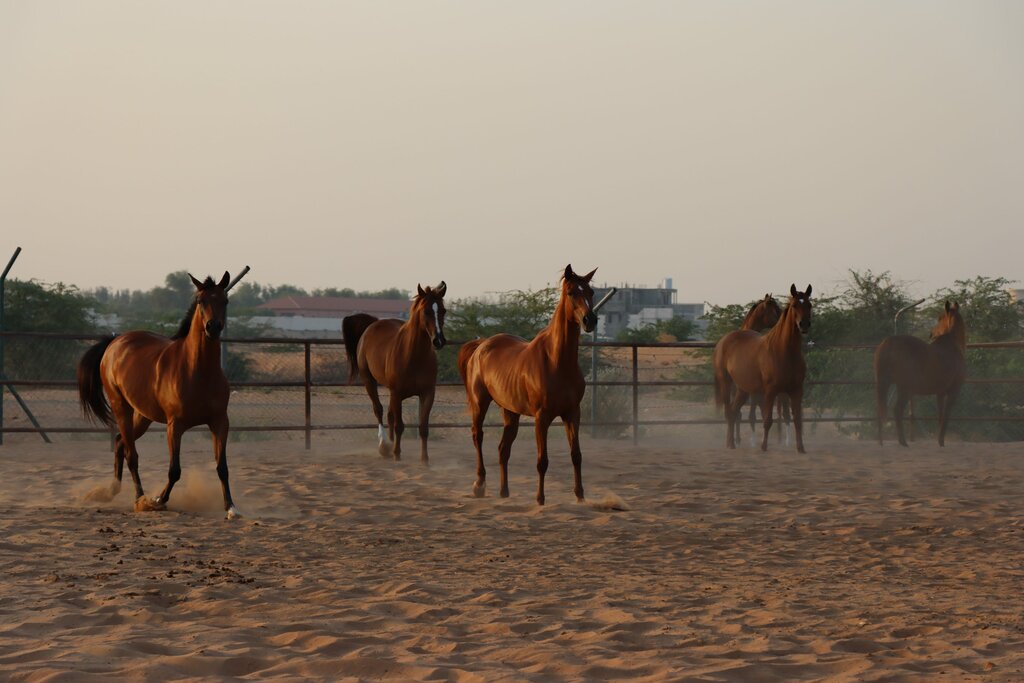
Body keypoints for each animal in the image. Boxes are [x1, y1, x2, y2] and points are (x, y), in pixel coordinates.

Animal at [77, 273, 239, 518]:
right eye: (200, 301)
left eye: (225, 300)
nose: (213, 328)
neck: (198, 371)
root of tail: (115, 342)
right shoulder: (175, 425)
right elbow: (174, 470)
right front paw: (158, 500)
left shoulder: (220, 422)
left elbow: (222, 467)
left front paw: (231, 507)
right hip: (121, 407)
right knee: (131, 455)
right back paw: (140, 499)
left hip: (142, 415)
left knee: (120, 443)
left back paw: (111, 491)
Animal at [342, 283, 447, 463]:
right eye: (426, 311)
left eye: (443, 310)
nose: (438, 341)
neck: (414, 356)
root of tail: (373, 324)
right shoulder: (397, 393)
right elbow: (399, 425)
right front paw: (397, 454)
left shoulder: (427, 393)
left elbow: (423, 427)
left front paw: (424, 459)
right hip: (369, 381)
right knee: (379, 410)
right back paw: (385, 446)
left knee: (390, 415)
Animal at [458, 264, 597, 505]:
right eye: (571, 292)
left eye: (591, 292)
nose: (590, 320)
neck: (557, 361)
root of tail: (481, 345)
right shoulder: (542, 418)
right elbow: (542, 460)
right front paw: (540, 499)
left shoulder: (572, 414)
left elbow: (576, 455)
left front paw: (580, 496)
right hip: (480, 403)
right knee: (478, 436)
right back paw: (479, 484)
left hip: (510, 411)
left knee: (503, 449)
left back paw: (504, 492)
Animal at [713, 284, 813, 453]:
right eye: (794, 305)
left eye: (809, 304)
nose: (803, 324)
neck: (783, 350)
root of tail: (724, 341)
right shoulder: (769, 391)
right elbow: (767, 420)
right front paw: (763, 446)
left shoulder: (796, 391)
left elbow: (797, 420)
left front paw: (801, 448)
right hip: (726, 384)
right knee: (729, 412)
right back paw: (731, 443)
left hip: (743, 389)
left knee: (734, 412)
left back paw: (732, 443)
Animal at [874, 301, 966, 447]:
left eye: (940, 318)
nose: (931, 334)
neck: (952, 345)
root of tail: (889, 342)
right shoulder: (953, 392)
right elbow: (946, 416)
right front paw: (941, 441)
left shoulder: (940, 393)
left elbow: (940, 416)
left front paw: (939, 441)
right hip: (904, 389)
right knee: (897, 410)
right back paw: (903, 442)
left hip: (885, 383)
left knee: (881, 409)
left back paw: (882, 442)